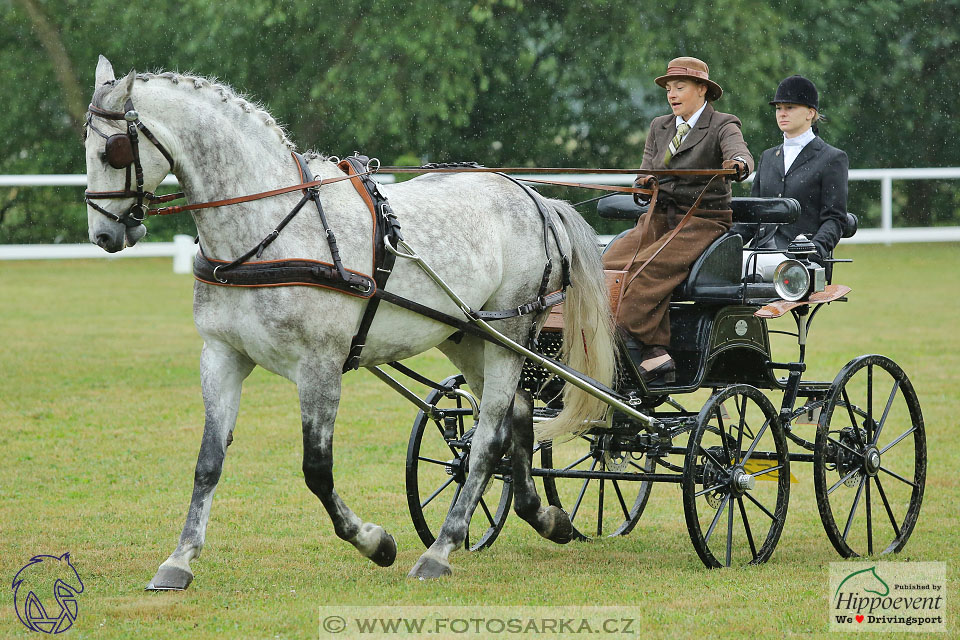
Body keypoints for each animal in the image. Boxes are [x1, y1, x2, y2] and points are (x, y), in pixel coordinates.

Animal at [86, 56, 620, 584]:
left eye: (114, 151)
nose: (104, 234)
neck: (268, 229)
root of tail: (533, 196)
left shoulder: (319, 366)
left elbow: (317, 470)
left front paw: (375, 542)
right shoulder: (221, 355)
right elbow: (208, 462)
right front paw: (179, 559)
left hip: (510, 331)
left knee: (489, 439)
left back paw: (441, 549)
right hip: (468, 334)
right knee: (520, 414)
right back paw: (544, 517)